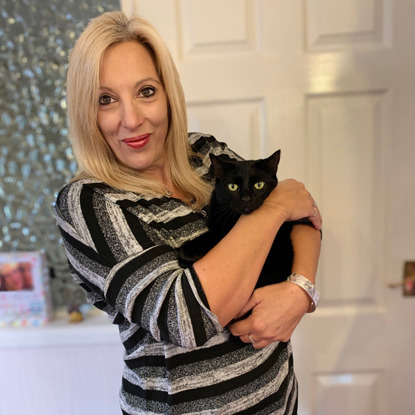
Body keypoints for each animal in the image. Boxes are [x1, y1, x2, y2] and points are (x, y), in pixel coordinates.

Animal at [180, 150, 306, 290]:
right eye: (232, 187)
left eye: (259, 185)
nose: (246, 199)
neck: (234, 219)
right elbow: (214, 232)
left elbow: (214, 236)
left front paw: (188, 252)